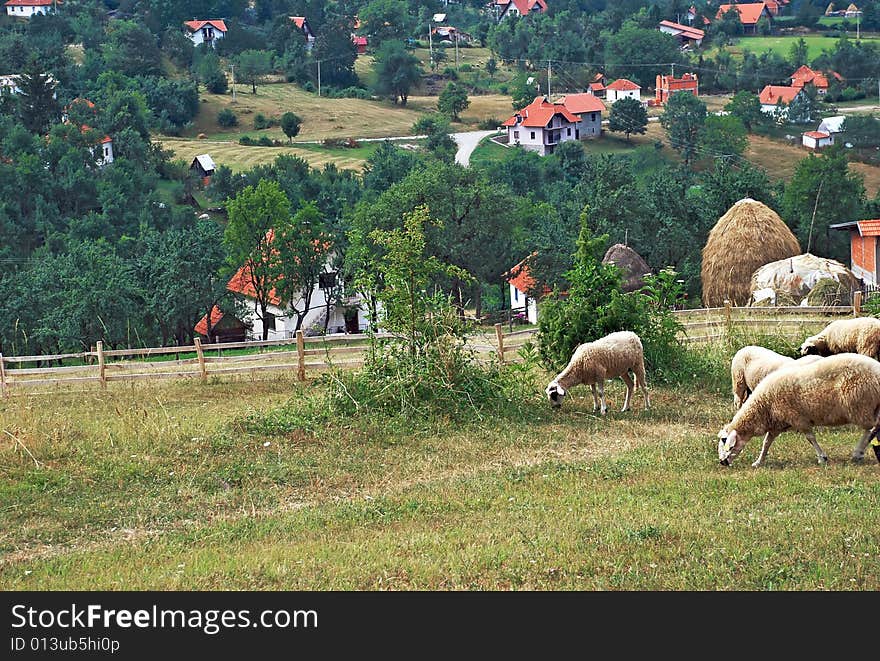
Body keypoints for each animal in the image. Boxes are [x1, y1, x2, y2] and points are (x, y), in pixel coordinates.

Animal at [720, 354, 880, 466]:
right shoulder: (776, 424)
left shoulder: (798, 418)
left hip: (860, 405)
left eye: (724, 441)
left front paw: (822, 458)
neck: (763, 406)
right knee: (874, 427)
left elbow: (810, 438)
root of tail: (876, 370)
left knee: (872, 427)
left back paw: (858, 452)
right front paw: (759, 462)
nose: (722, 462)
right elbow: (766, 442)